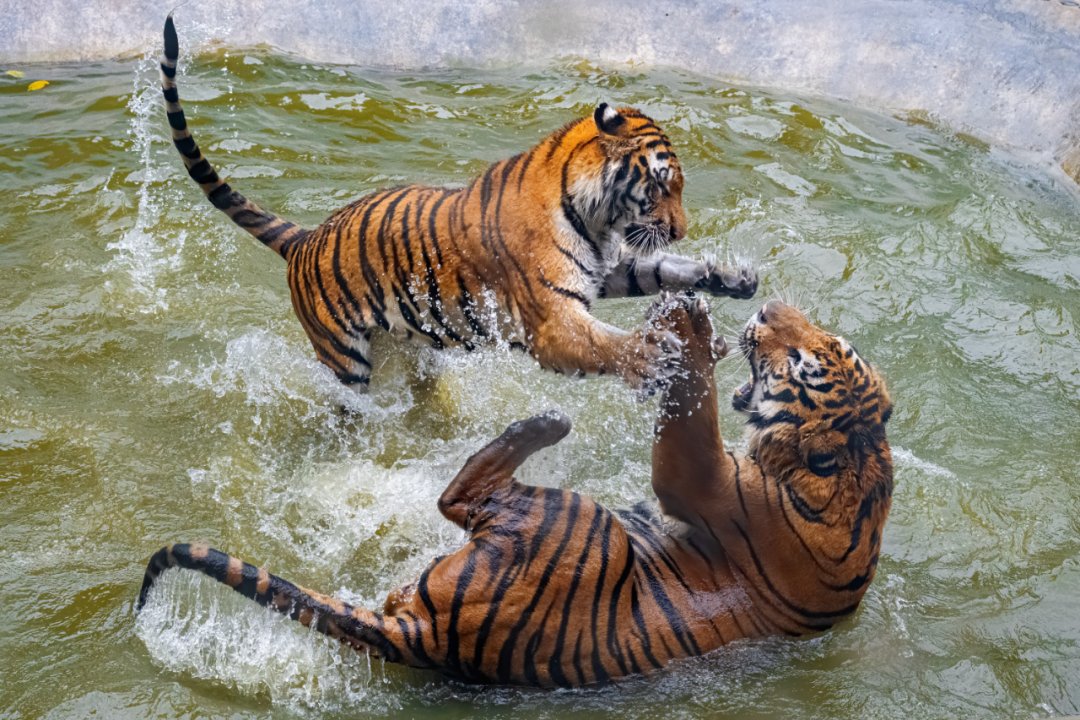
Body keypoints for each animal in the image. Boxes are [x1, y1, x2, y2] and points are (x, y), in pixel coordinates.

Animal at [137, 293, 894, 686]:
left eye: (803, 358)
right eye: (827, 341)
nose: (766, 309)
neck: (857, 471)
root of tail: (418, 636)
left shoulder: (702, 479)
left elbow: (692, 411)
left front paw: (689, 320)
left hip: (576, 522)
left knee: (460, 496)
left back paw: (546, 422)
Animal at [159, 16, 760, 390]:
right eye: (661, 185)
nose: (682, 229)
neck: (594, 217)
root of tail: (305, 238)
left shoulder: (603, 270)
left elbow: (662, 270)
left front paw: (732, 278)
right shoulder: (552, 323)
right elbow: (609, 345)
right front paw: (656, 353)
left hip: (410, 343)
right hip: (346, 359)